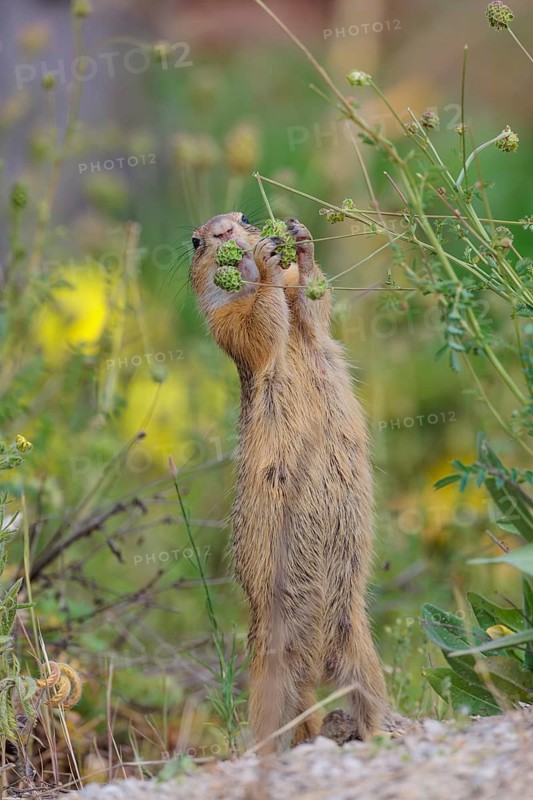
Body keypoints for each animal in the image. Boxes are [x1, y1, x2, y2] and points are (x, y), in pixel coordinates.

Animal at [190, 212, 388, 752]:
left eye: (245, 217)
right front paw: (265, 263)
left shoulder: (309, 321)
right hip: (269, 664)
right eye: (195, 242)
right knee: (274, 716)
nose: (224, 231)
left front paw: (300, 242)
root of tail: (314, 663)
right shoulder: (227, 324)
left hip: (356, 640)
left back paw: (376, 731)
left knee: (359, 686)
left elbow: (314, 306)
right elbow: (257, 325)